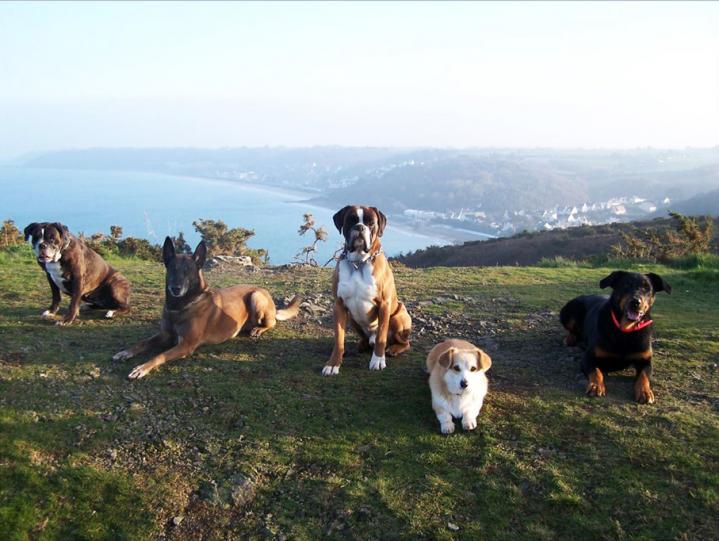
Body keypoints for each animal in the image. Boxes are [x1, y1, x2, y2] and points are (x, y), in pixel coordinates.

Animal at [112, 236, 300, 380]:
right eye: (172, 269)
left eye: (188, 270)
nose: (175, 288)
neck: (179, 307)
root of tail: (263, 290)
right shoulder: (165, 334)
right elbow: (143, 342)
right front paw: (126, 352)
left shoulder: (186, 345)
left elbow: (159, 355)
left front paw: (141, 368)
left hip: (256, 297)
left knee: (271, 323)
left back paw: (258, 330)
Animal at [322, 204, 410, 376]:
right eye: (351, 220)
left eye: (371, 223)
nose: (360, 227)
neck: (358, 262)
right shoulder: (339, 306)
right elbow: (339, 339)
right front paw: (333, 363)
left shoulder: (384, 305)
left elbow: (381, 336)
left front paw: (378, 360)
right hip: (352, 317)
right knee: (365, 339)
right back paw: (360, 346)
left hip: (398, 316)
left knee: (404, 342)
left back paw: (393, 349)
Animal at [560, 270, 672, 400]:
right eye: (626, 285)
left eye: (647, 288)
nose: (635, 302)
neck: (625, 330)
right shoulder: (588, 357)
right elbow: (596, 371)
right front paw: (596, 385)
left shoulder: (645, 360)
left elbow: (644, 376)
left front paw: (645, 391)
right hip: (570, 311)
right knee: (572, 330)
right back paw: (570, 339)